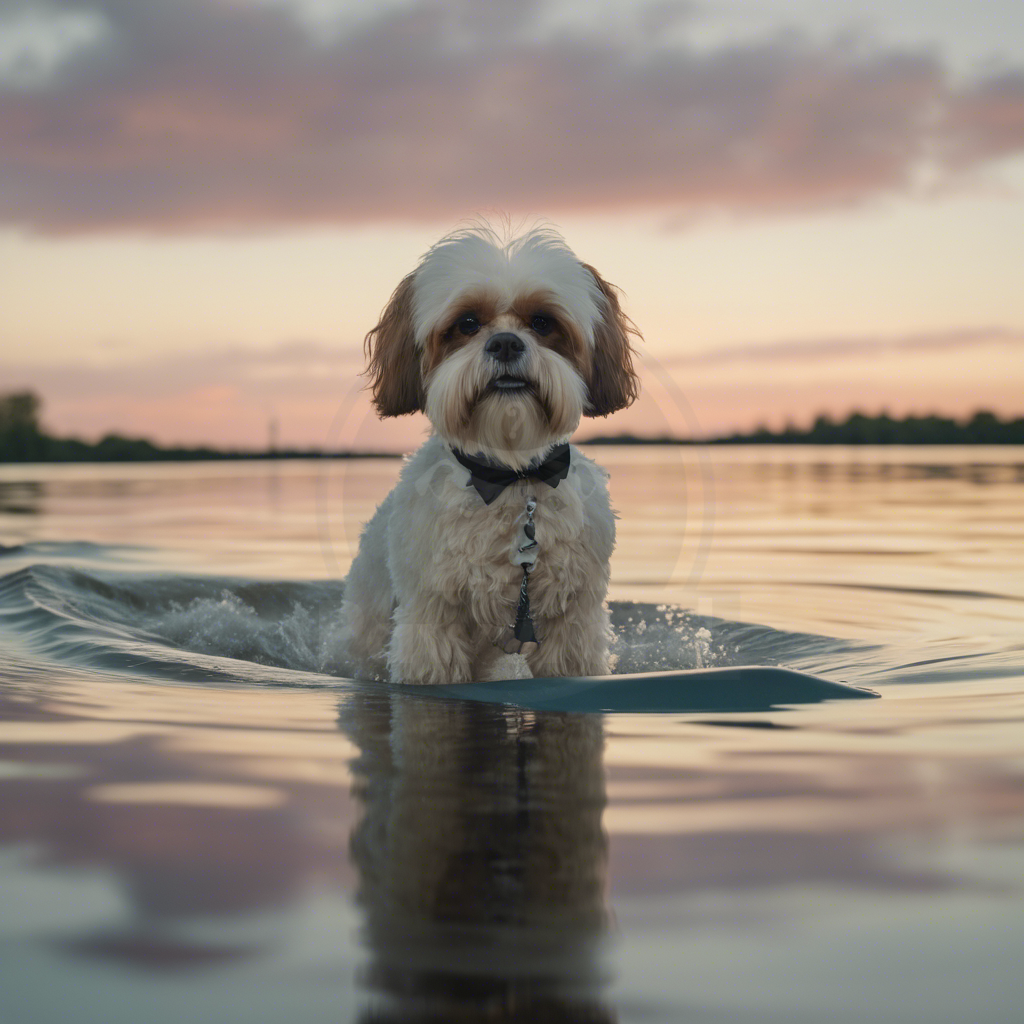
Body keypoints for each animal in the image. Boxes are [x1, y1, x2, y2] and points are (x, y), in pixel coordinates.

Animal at [339, 228, 634, 684]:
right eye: (467, 323)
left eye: (542, 322)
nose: (506, 343)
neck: (511, 476)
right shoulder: (432, 620)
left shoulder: (573, 623)